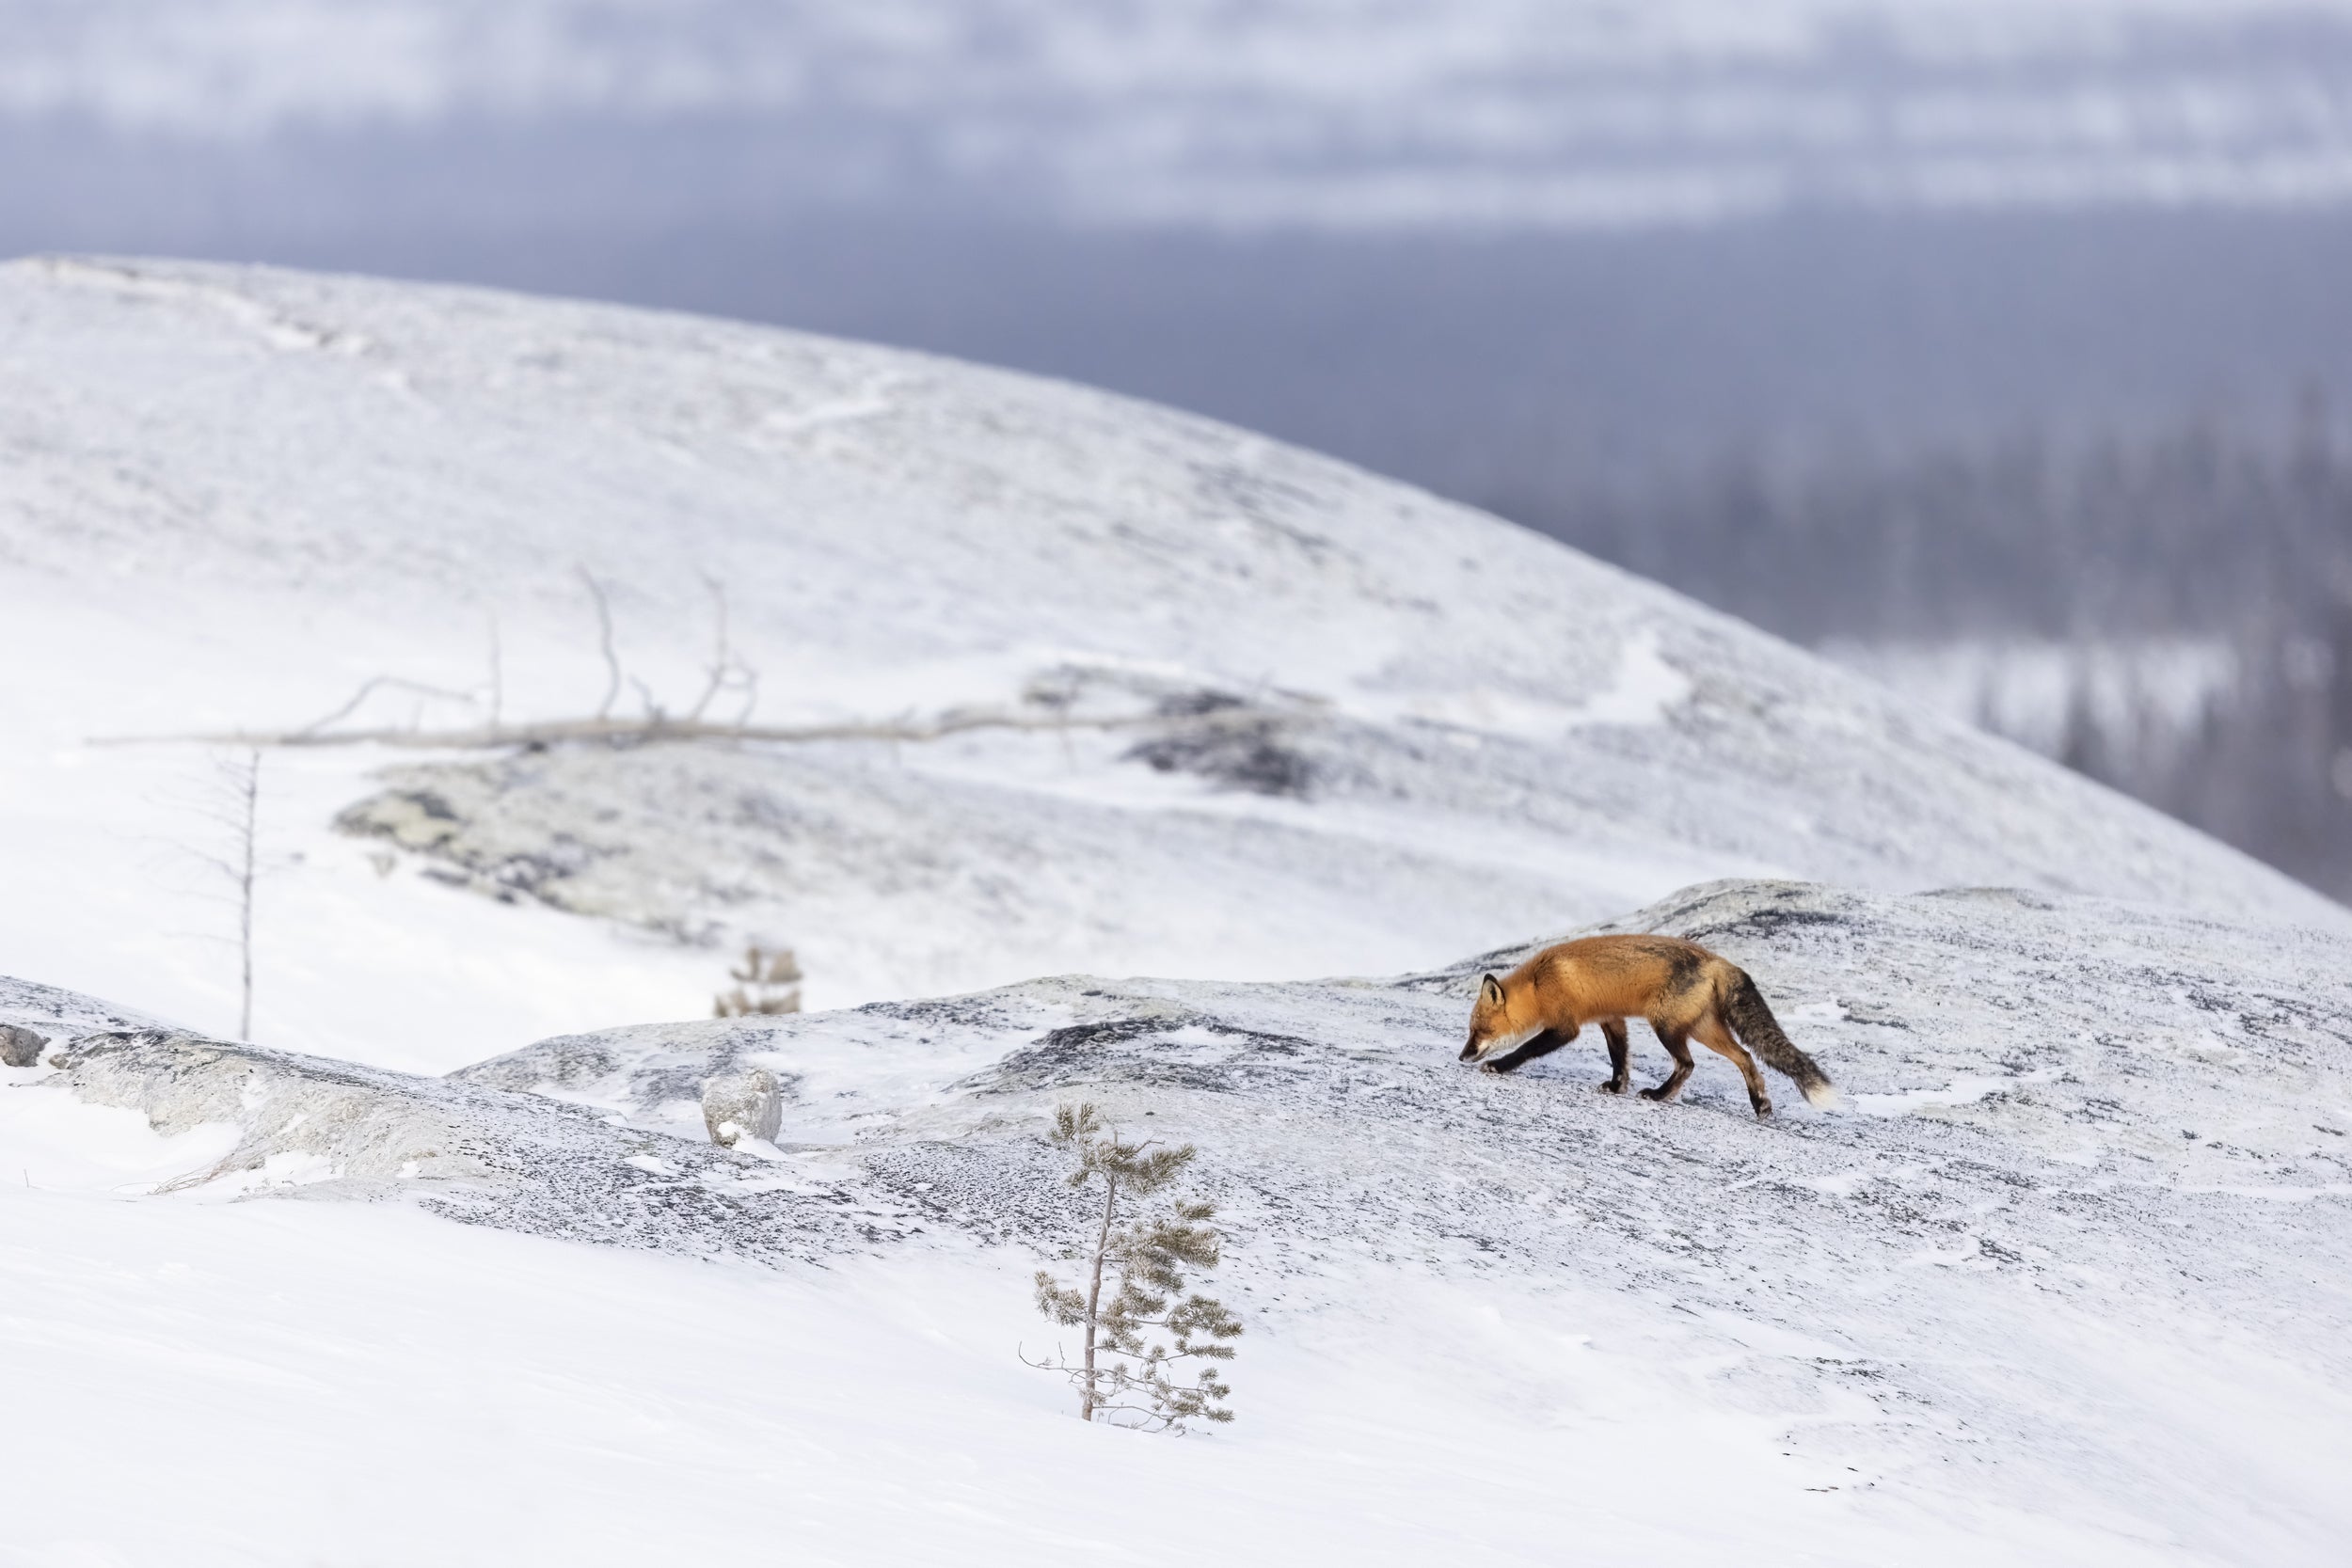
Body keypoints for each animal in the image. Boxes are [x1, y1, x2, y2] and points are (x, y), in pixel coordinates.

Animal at [1460, 934, 1835, 1118]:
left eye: (1478, 1031)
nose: (1462, 1056)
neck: (1539, 983)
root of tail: (1719, 961)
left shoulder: (1566, 1026)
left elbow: (1526, 1049)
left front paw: (1499, 1066)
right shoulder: (1611, 1018)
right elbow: (1619, 1058)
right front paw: (1617, 1087)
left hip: (1666, 1027)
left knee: (1688, 1064)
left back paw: (1659, 1094)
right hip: (1701, 1029)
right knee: (1744, 1057)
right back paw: (1760, 1104)